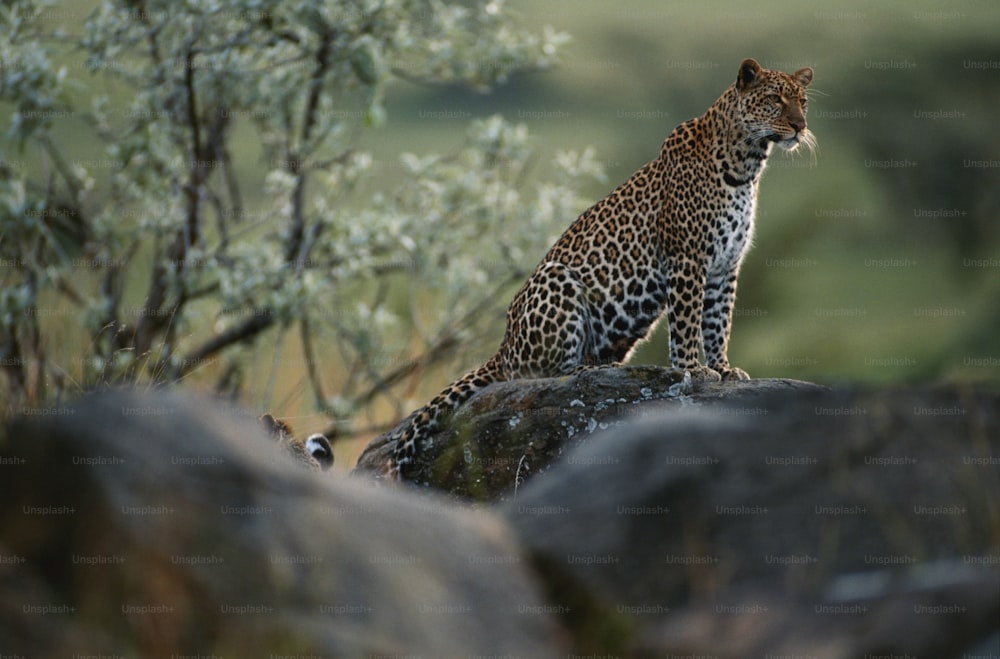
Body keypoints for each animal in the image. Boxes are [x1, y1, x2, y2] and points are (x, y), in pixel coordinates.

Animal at [368, 58, 812, 480]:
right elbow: (687, 323)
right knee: (538, 377)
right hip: (556, 280)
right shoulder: (687, 258)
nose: (800, 126)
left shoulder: (725, 267)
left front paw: (722, 367)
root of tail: (503, 345)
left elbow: (719, 322)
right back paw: (585, 370)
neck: (747, 163)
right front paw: (694, 369)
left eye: (802, 101)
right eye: (774, 100)